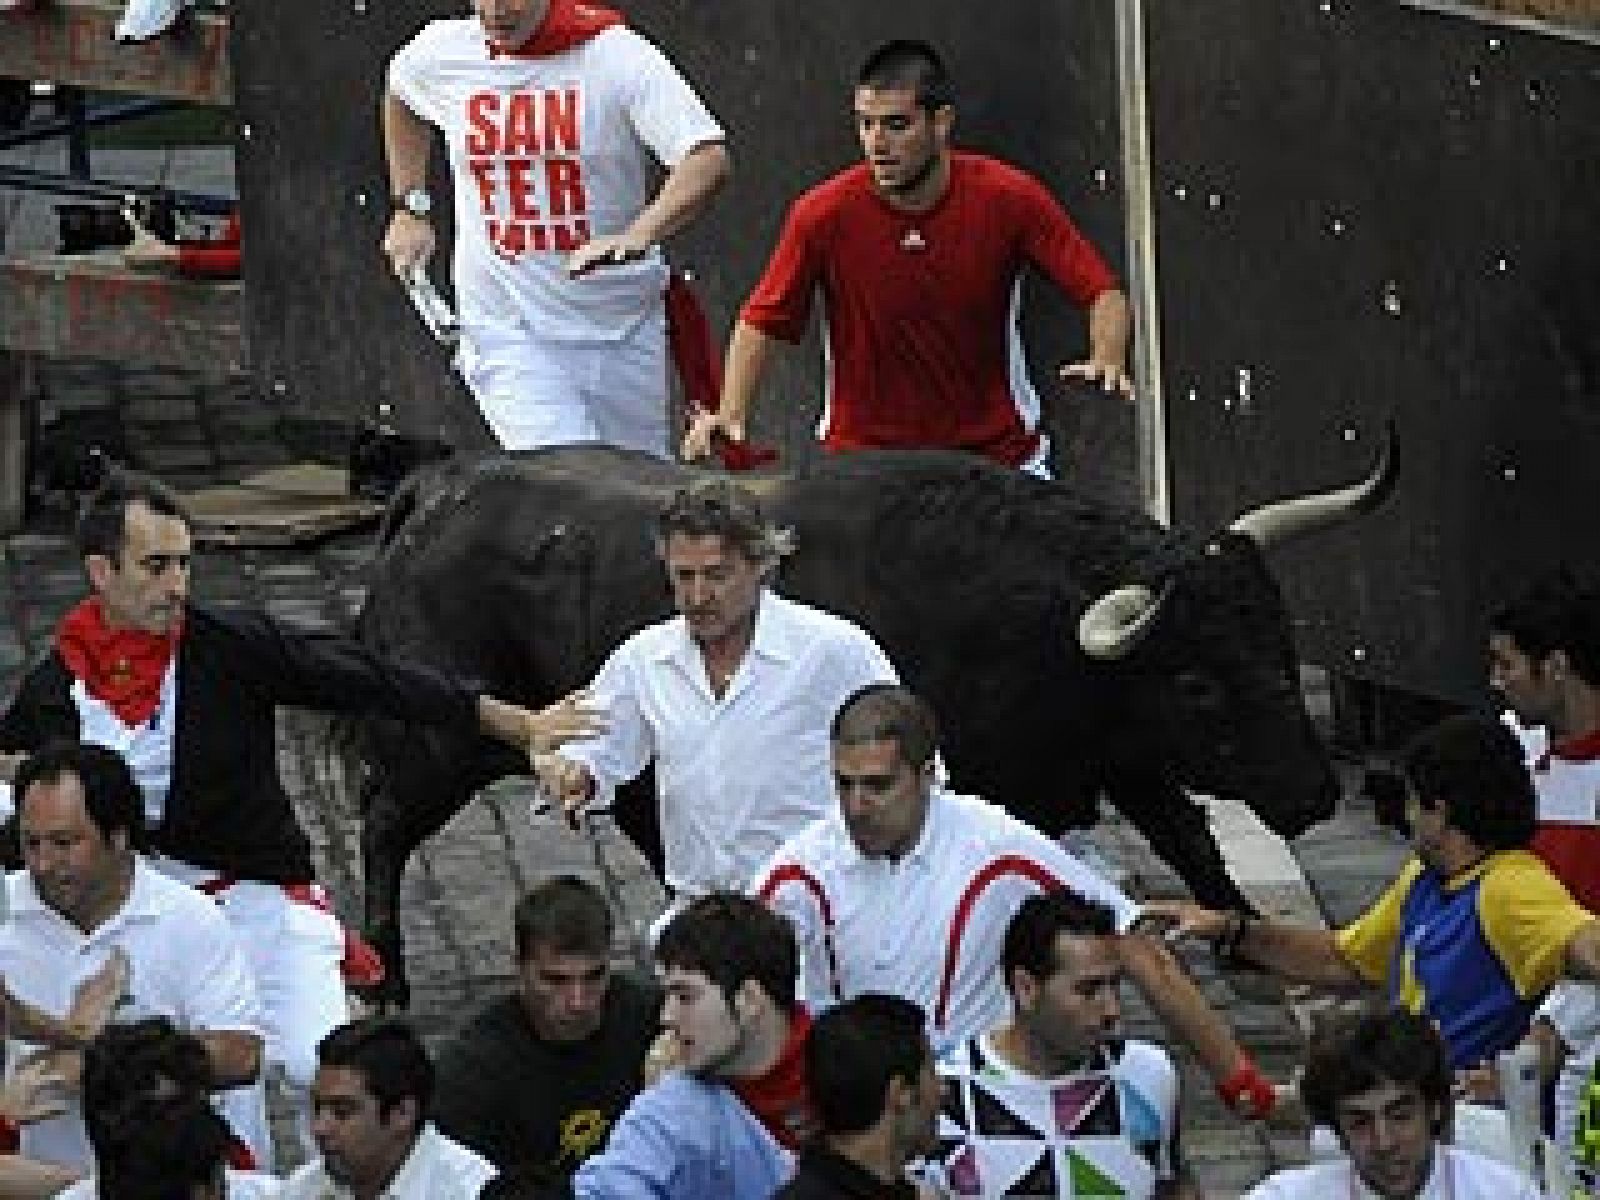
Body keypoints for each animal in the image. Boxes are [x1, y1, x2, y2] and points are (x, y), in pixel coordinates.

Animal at [353, 438, 1401, 1011]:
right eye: (1197, 684)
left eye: (1281, 643)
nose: (1314, 793)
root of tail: (438, 486)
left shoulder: (1117, 752)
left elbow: (1190, 841)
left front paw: (1251, 946)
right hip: (439, 741)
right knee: (382, 822)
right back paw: (386, 979)